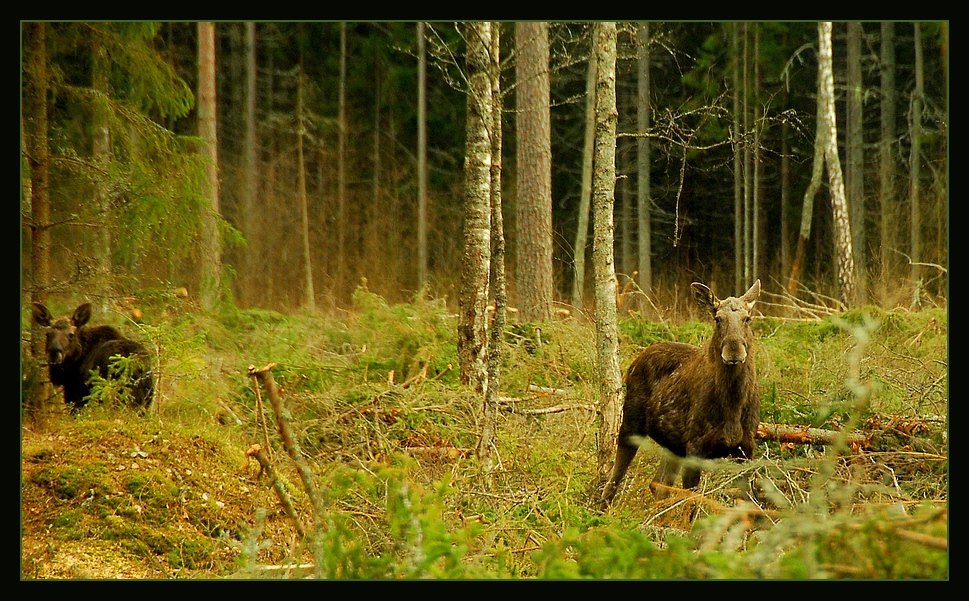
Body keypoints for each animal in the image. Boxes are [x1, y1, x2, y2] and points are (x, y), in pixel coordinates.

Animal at [596, 278, 764, 506]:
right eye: (717, 319)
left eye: (747, 318)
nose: (734, 351)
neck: (733, 407)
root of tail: (633, 364)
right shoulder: (695, 447)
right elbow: (691, 503)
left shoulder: (746, 447)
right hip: (631, 423)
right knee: (615, 477)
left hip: (673, 444)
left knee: (658, 484)